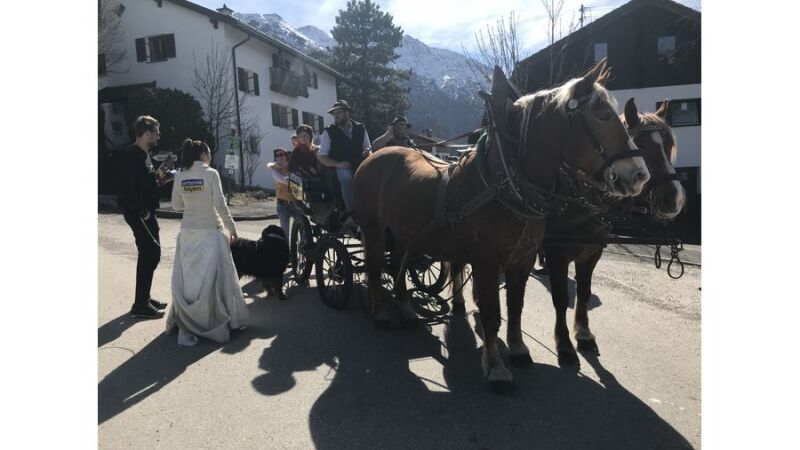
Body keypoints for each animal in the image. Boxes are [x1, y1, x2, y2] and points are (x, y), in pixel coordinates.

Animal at [354, 59, 648, 390]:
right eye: (602, 115)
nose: (639, 175)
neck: (504, 182)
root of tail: (375, 155)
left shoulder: (523, 259)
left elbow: (515, 306)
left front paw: (518, 349)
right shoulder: (486, 262)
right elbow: (492, 314)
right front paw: (496, 368)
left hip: (405, 233)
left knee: (398, 265)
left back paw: (405, 308)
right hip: (373, 229)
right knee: (376, 267)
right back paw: (381, 312)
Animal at [540, 96, 684, 364]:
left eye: (670, 145)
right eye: (641, 146)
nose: (675, 199)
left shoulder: (592, 253)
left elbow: (584, 292)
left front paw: (583, 334)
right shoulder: (557, 254)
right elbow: (561, 298)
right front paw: (564, 344)